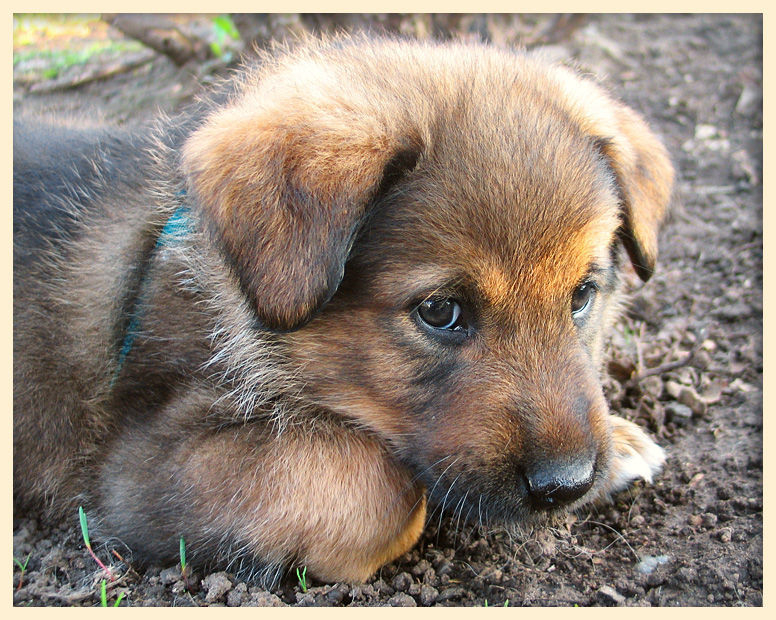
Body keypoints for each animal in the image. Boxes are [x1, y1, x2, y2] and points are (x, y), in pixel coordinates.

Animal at [15, 35, 676, 588]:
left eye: (583, 295)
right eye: (440, 311)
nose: (566, 484)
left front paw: (621, 442)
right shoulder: (135, 469)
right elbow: (379, 487)